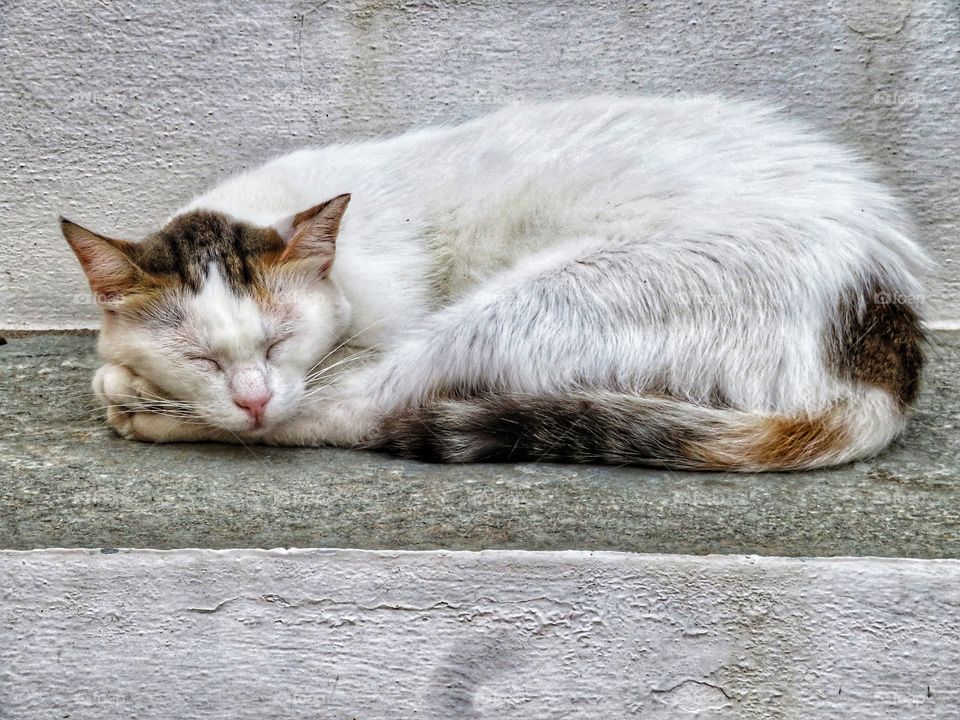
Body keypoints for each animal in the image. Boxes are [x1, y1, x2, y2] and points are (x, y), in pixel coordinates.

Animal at [62, 95, 928, 472]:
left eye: (280, 341)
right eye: (201, 357)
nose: (248, 395)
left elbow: (318, 391)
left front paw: (131, 383)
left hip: (539, 297)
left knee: (365, 409)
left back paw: (149, 413)